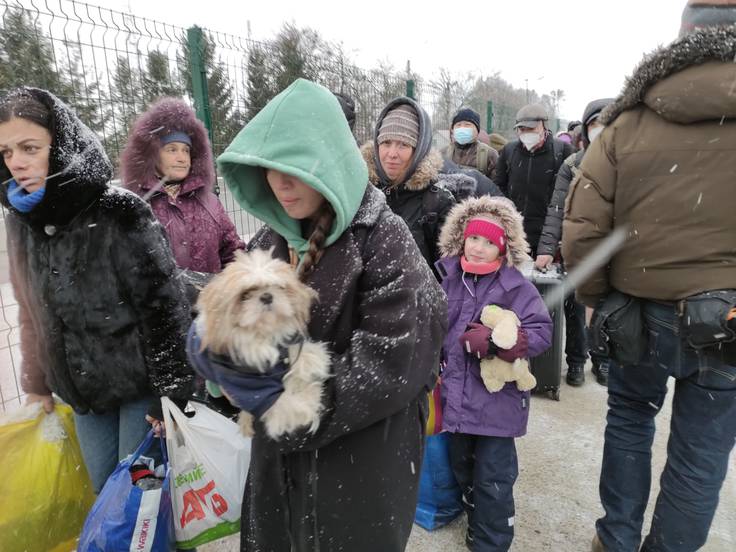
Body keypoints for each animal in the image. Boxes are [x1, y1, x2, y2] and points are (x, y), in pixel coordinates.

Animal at [197, 250, 332, 440]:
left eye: (279, 286)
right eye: (245, 294)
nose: (267, 296)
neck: (263, 334)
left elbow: (298, 352)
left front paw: (313, 362)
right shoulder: (255, 392)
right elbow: (289, 406)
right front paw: (310, 393)